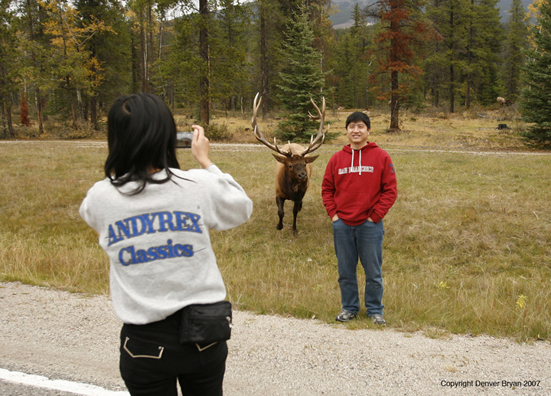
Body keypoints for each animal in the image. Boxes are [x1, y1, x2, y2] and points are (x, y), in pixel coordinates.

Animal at [251, 93, 326, 235]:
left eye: (304, 164)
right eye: (290, 165)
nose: (303, 176)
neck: (291, 191)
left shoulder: (300, 194)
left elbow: (294, 212)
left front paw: (294, 229)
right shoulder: (278, 192)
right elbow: (281, 212)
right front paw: (279, 226)